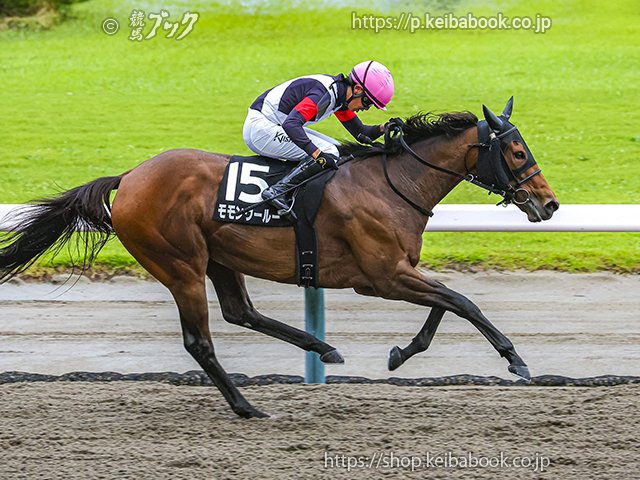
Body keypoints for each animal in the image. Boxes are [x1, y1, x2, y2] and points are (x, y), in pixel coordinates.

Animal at [0, 98, 559, 418]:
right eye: (517, 153)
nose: (549, 205)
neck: (394, 183)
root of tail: (130, 177)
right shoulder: (381, 276)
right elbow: (462, 302)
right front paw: (516, 359)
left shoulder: (398, 271)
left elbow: (445, 304)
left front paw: (401, 353)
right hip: (179, 265)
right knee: (200, 340)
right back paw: (247, 406)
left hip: (218, 258)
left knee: (240, 312)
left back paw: (321, 347)